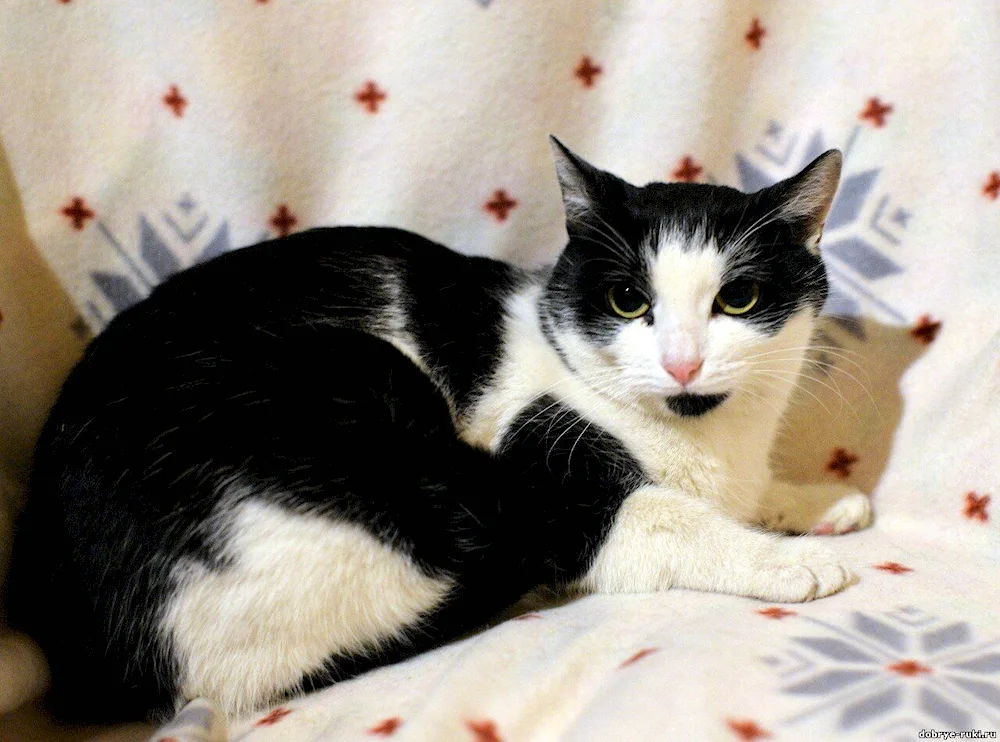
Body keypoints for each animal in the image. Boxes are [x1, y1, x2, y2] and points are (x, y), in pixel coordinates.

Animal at [5, 137, 868, 724]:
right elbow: (669, 517)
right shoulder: (550, 488)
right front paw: (787, 561)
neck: (703, 437)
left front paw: (816, 502)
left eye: (739, 299)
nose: (683, 362)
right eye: (628, 300)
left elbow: (740, 495)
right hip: (366, 396)